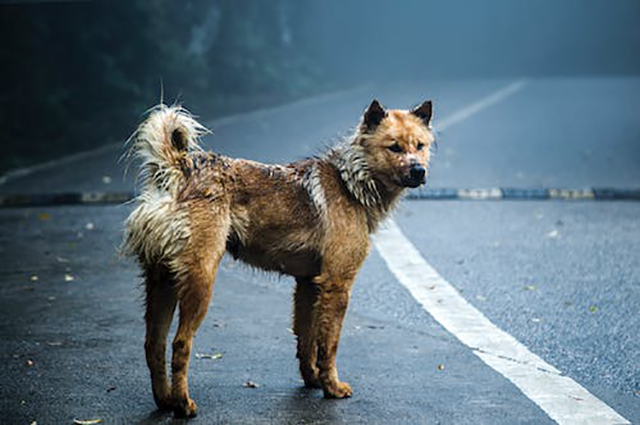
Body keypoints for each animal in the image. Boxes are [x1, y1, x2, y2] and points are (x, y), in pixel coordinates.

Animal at [122, 97, 436, 416]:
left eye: (420, 145)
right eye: (394, 147)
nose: (418, 171)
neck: (349, 181)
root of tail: (177, 168)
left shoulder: (308, 284)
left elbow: (306, 340)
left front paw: (313, 380)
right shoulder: (337, 284)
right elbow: (329, 344)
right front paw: (332, 387)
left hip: (161, 282)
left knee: (153, 345)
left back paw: (165, 400)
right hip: (200, 282)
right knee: (180, 344)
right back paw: (183, 404)